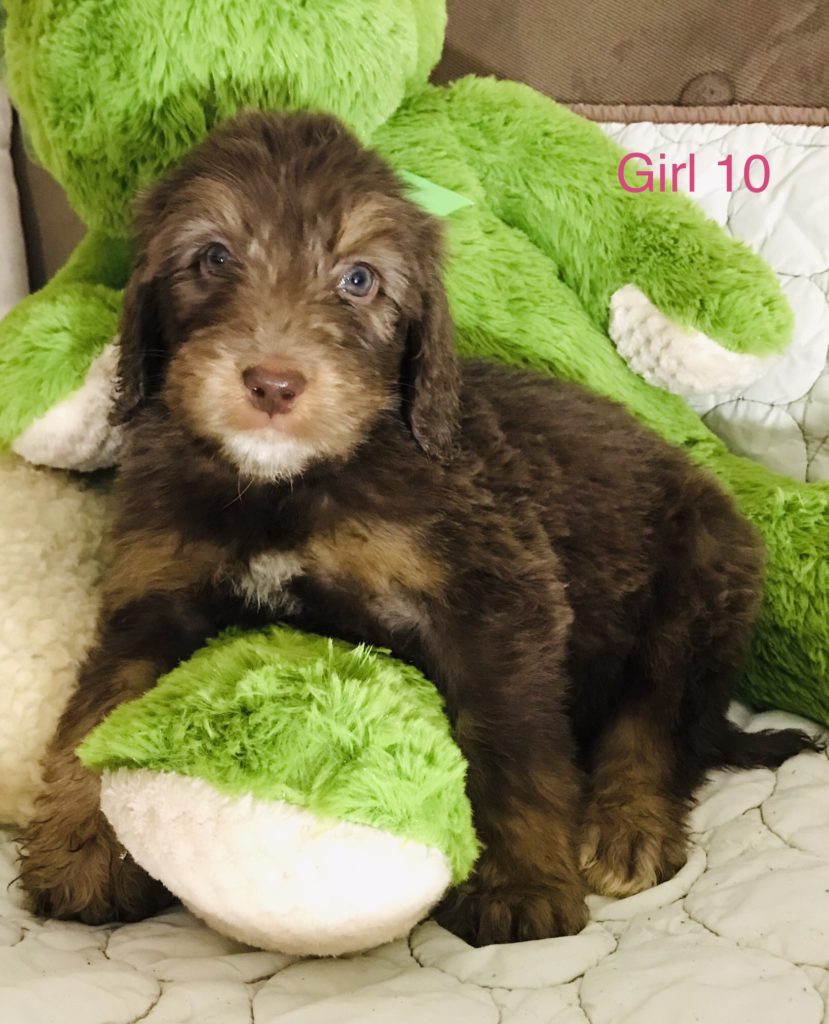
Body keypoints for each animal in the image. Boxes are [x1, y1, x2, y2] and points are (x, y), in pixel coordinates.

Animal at [17, 110, 814, 942]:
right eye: (213, 256)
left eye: (358, 279)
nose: (273, 383)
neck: (286, 484)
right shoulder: (154, 592)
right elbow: (94, 714)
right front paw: (78, 852)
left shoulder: (497, 599)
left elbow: (513, 745)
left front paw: (520, 884)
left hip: (696, 587)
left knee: (657, 722)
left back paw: (629, 827)